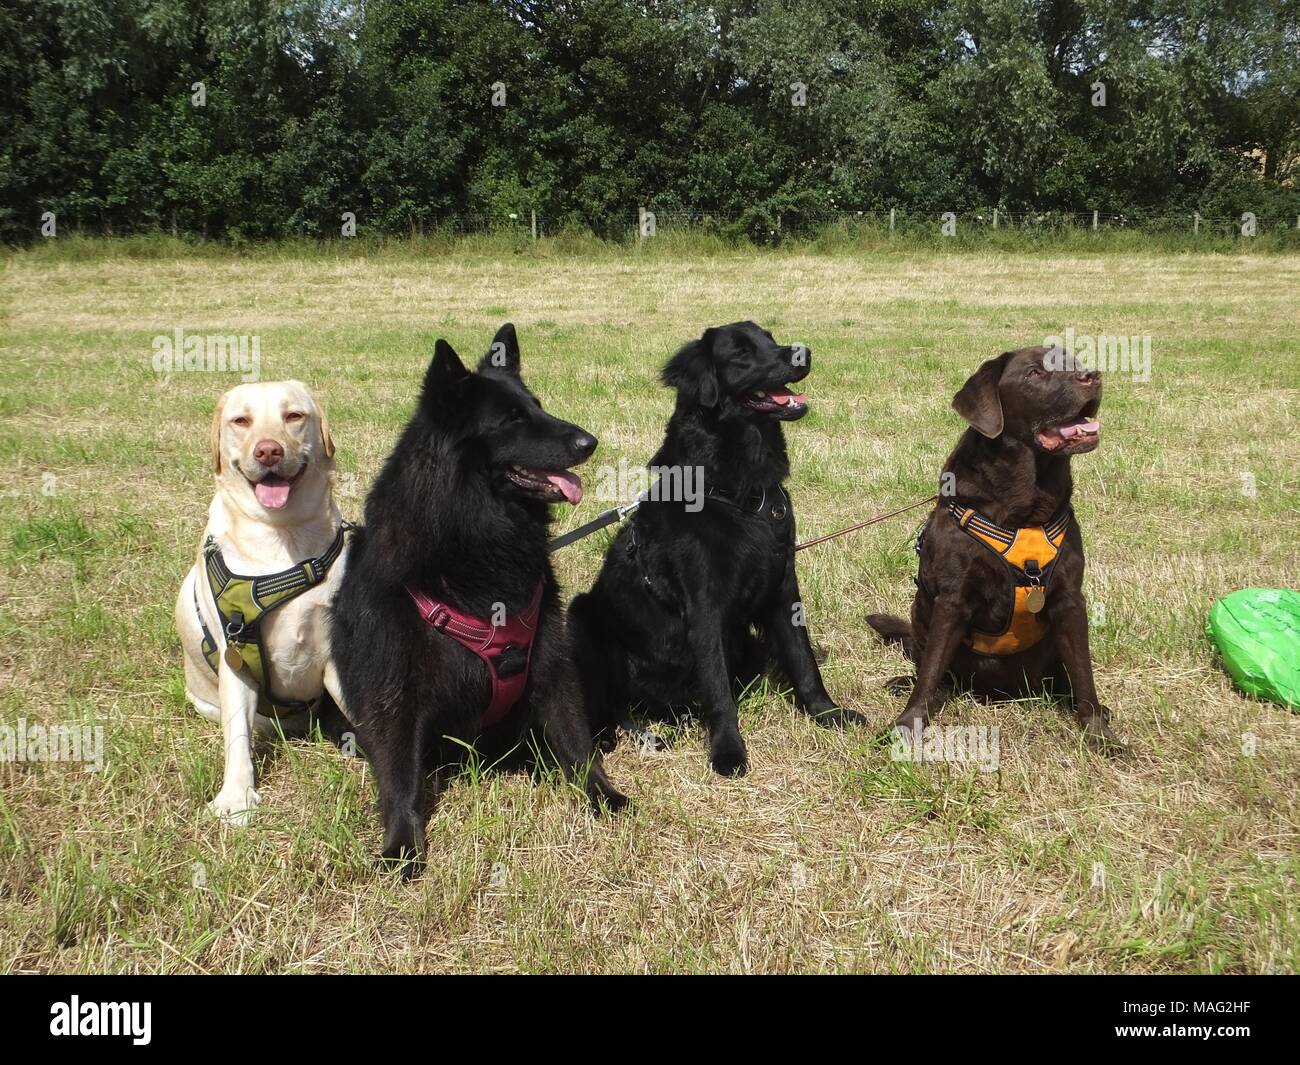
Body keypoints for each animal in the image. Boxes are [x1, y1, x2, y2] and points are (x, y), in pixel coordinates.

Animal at [330, 322, 624, 873]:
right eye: (511, 419)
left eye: (537, 405)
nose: (589, 441)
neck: (475, 534)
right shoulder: (392, 688)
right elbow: (400, 776)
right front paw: (402, 845)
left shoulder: (549, 661)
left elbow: (575, 741)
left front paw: (603, 794)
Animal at [572, 315, 863, 775]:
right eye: (741, 352)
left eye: (770, 339)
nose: (804, 353)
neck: (739, 492)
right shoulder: (704, 604)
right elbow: (719, 687)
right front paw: (728, 751)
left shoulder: (784, 586)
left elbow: (803, 659)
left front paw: (827, 713)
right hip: (581, 614)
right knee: (611, 707)